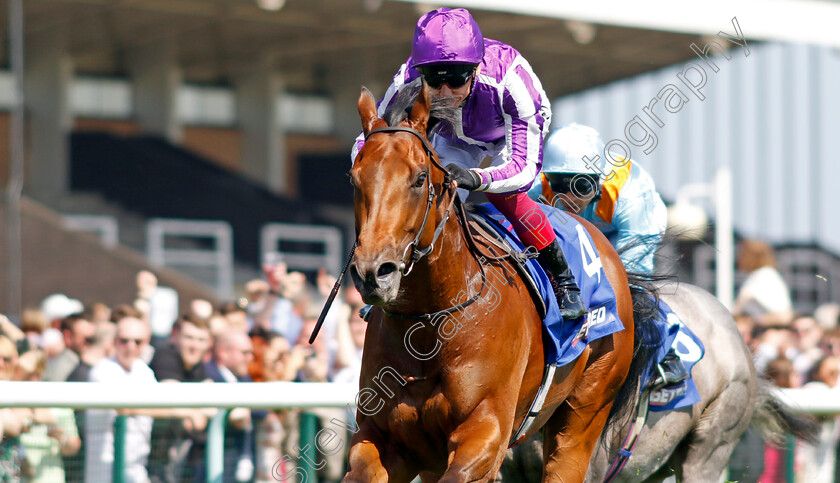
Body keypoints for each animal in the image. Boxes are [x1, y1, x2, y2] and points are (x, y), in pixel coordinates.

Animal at [344, 81, 640, 482]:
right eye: (354, 178)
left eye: (420, 179)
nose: (374, 272)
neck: (431, 325)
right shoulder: (385, 438)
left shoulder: (486, 433)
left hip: (586, 409)